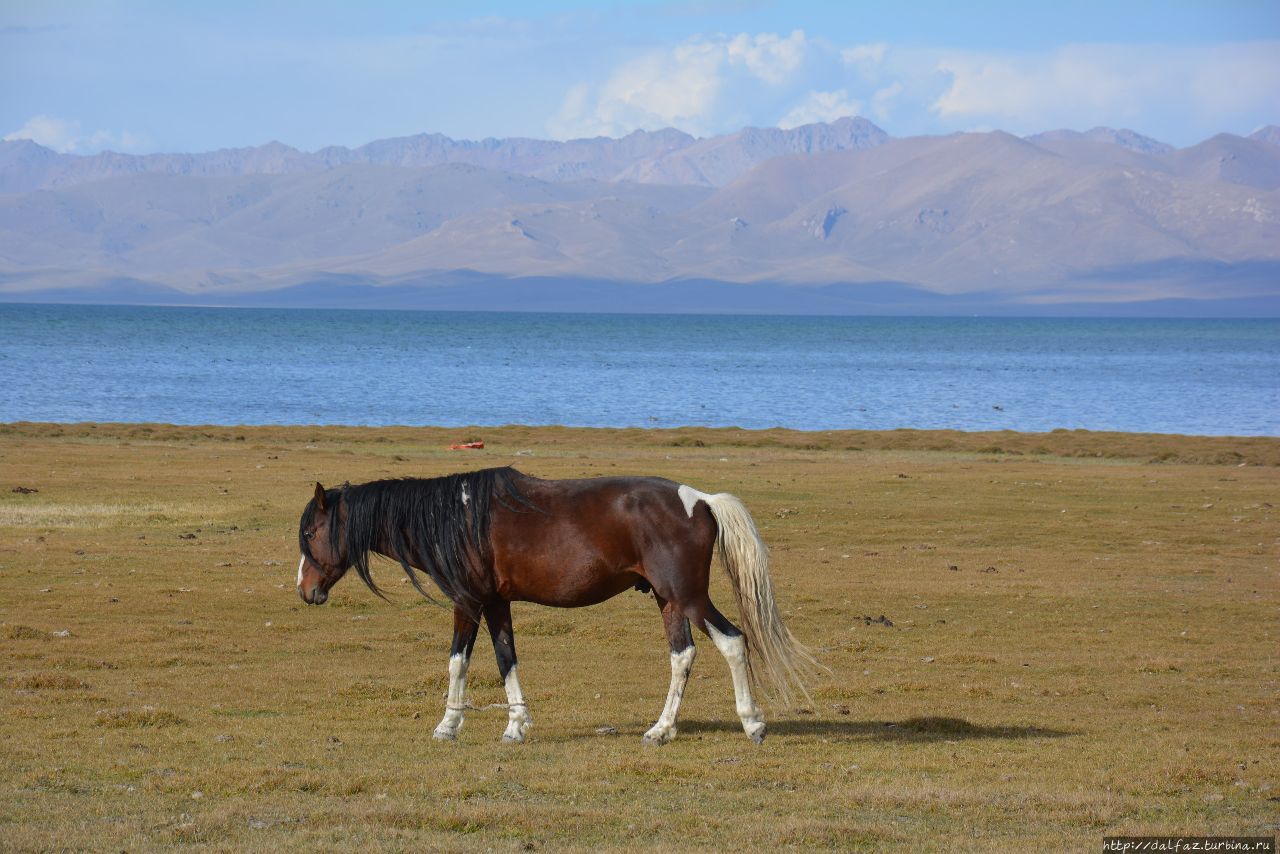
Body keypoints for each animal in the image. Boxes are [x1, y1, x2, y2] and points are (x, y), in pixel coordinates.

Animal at [296, 468, 819, 742]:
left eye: (311, 532)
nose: (305, 590)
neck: (455, 517)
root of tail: (699, 500)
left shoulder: (467, 601)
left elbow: (457, 662)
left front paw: (448, 724)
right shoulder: (496, 603)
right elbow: (506, 659)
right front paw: (516, 725)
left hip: (688, 597)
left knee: (732, 641)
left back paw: (752, 723)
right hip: (669, 601)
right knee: (682, 655)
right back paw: (661, 729)